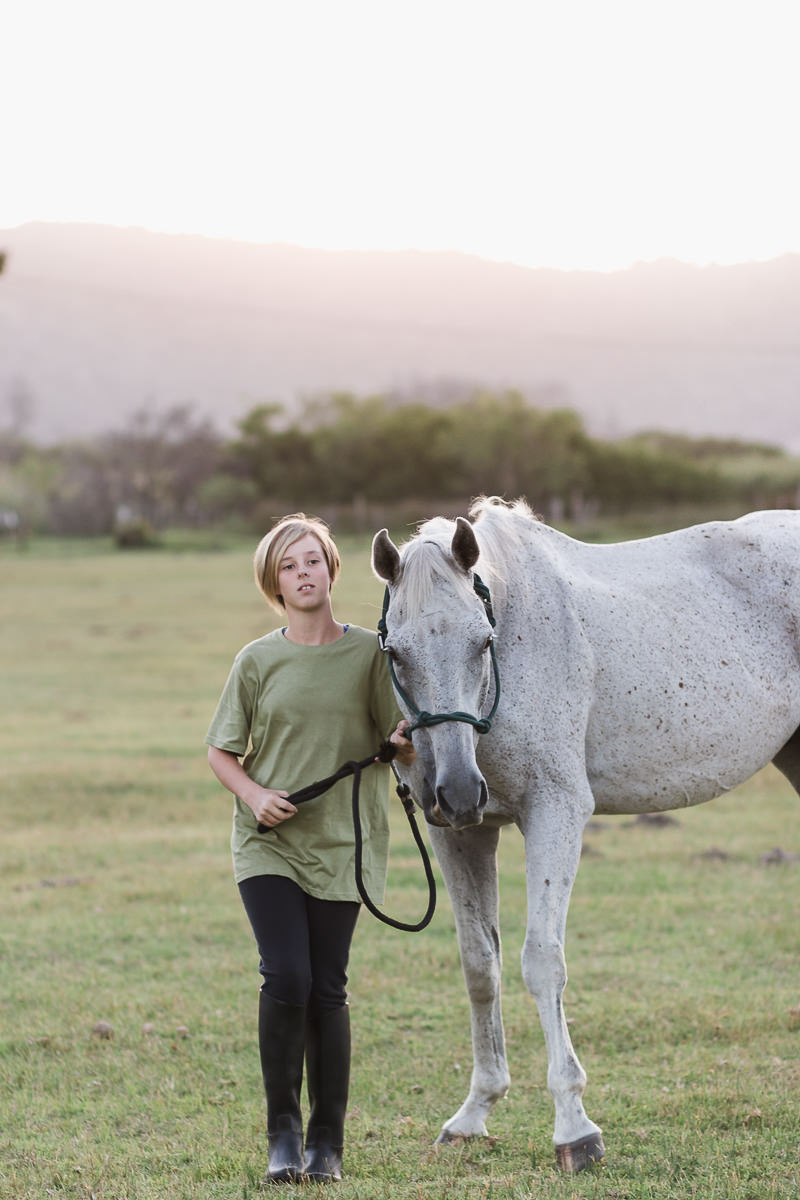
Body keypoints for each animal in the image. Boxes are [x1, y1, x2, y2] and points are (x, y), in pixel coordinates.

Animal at [371, 496, 800, 1172]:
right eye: (395, 653)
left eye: (483, 641)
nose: (460, 791)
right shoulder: (459, 836)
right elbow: (480, 965)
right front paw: (474, 1113)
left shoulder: (556, 811)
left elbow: (542, 962)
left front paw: (575, 1129)